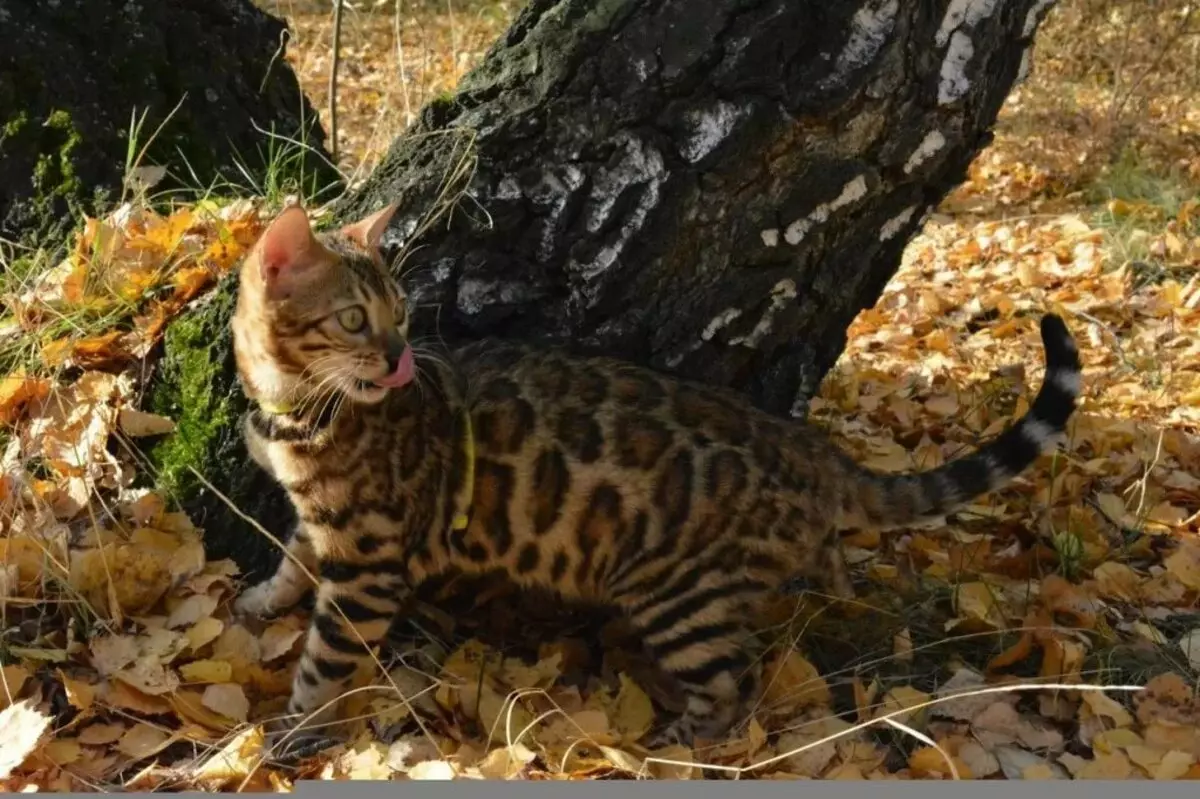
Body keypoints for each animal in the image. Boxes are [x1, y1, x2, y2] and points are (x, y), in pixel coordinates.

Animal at [229, 202, 1084, 748]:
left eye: (401, 312)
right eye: (354, 319)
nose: (400, 358)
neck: (292, 405)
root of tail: (803, 445)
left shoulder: (370, 561)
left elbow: (327, 658)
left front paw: (294, 733)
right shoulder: (324, 522)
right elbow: (294, 555)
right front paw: (262, 598)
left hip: (678, 592)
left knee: (734, 685)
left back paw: (678, 742)